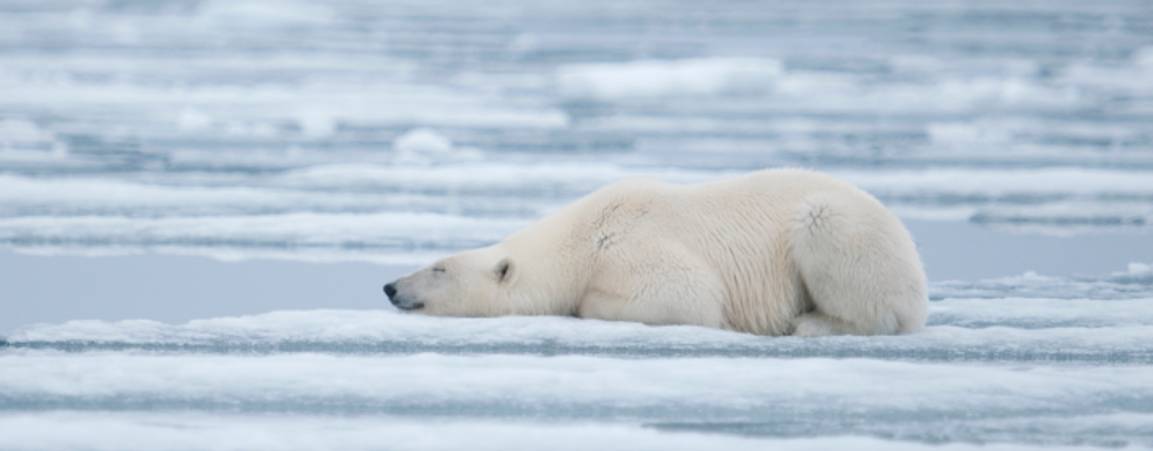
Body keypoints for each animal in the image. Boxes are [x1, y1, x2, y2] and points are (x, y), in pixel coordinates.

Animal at [385, 169, 927, 334]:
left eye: (438, 268)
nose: (389, 286)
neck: (582, 239)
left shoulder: (631, 247)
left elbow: (690, 295)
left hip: (843, 229)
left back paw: (812, 322)